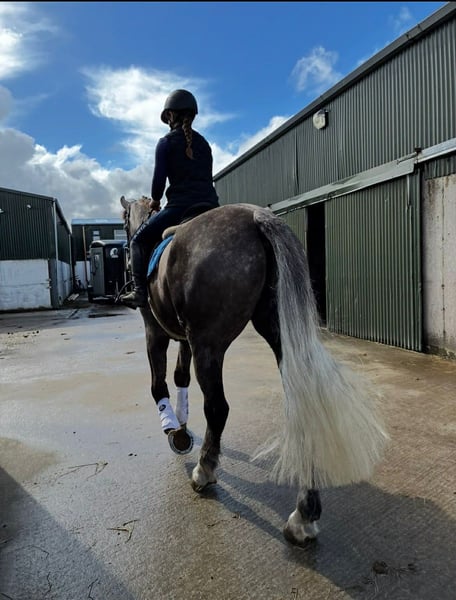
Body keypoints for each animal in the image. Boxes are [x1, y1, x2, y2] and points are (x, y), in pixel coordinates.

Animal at [120, 195, 389, 546]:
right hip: (276, 331)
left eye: (123, 220)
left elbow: (158, 384)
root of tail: (256, 217)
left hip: (209, 344)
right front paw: (182, 425)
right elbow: (180, 377)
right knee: (305, 404)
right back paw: (304, 514)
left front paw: (174, 430)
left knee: (218, 408)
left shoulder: (157, 333)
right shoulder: (184, 340)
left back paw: (204, 471)